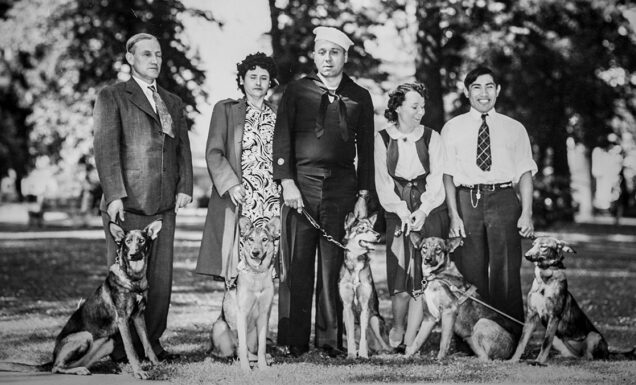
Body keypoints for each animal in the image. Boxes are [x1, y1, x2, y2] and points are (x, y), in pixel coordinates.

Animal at [0, 219, 161, 378]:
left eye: (141, 241)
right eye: (127, 241)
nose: (133, 255)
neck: (133, 279)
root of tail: (53, 357)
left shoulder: (139, 316)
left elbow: (148, 344)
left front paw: (158, 365)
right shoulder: (123, 320)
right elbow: (131, 349)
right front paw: (138, 371)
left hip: (108, 343)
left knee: (70, 365)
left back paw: (85, 369)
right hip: (85, 336)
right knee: (56, 368)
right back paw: (78, 370)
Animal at [210, 216, 280, 368]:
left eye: (264, 239)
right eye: (251, 239)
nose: (255, 253)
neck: (257, 275)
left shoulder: (264, 315)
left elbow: (262, 348)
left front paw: (263, 367)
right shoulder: (242, 314)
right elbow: (242, 349)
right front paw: (246, 369)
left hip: (253, 335)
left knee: (250, 351)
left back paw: (266, 359)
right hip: (220, 327)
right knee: (233, 351)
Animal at [338, 213, 392, 356]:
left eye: (372, 228)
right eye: (362, 229)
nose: (378, 235)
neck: (356, 261)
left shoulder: (365, 306)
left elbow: (364, 335)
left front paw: (363, 355)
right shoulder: (347, 306)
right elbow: (351, 336)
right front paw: (351, 355)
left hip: (375, 320)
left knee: (385, 345)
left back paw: (380, 351)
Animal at [510, 236, 608, 364]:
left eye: (543, 246)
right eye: (533, 244)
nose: (526, 255)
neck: (544, 281)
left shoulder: (554, 317)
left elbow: (545, 343)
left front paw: (539, 362)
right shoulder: (531, 316)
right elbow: (521, 342)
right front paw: (513, 360)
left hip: (593, 335)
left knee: (588, 356)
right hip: (558, 338)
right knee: (574, 355)